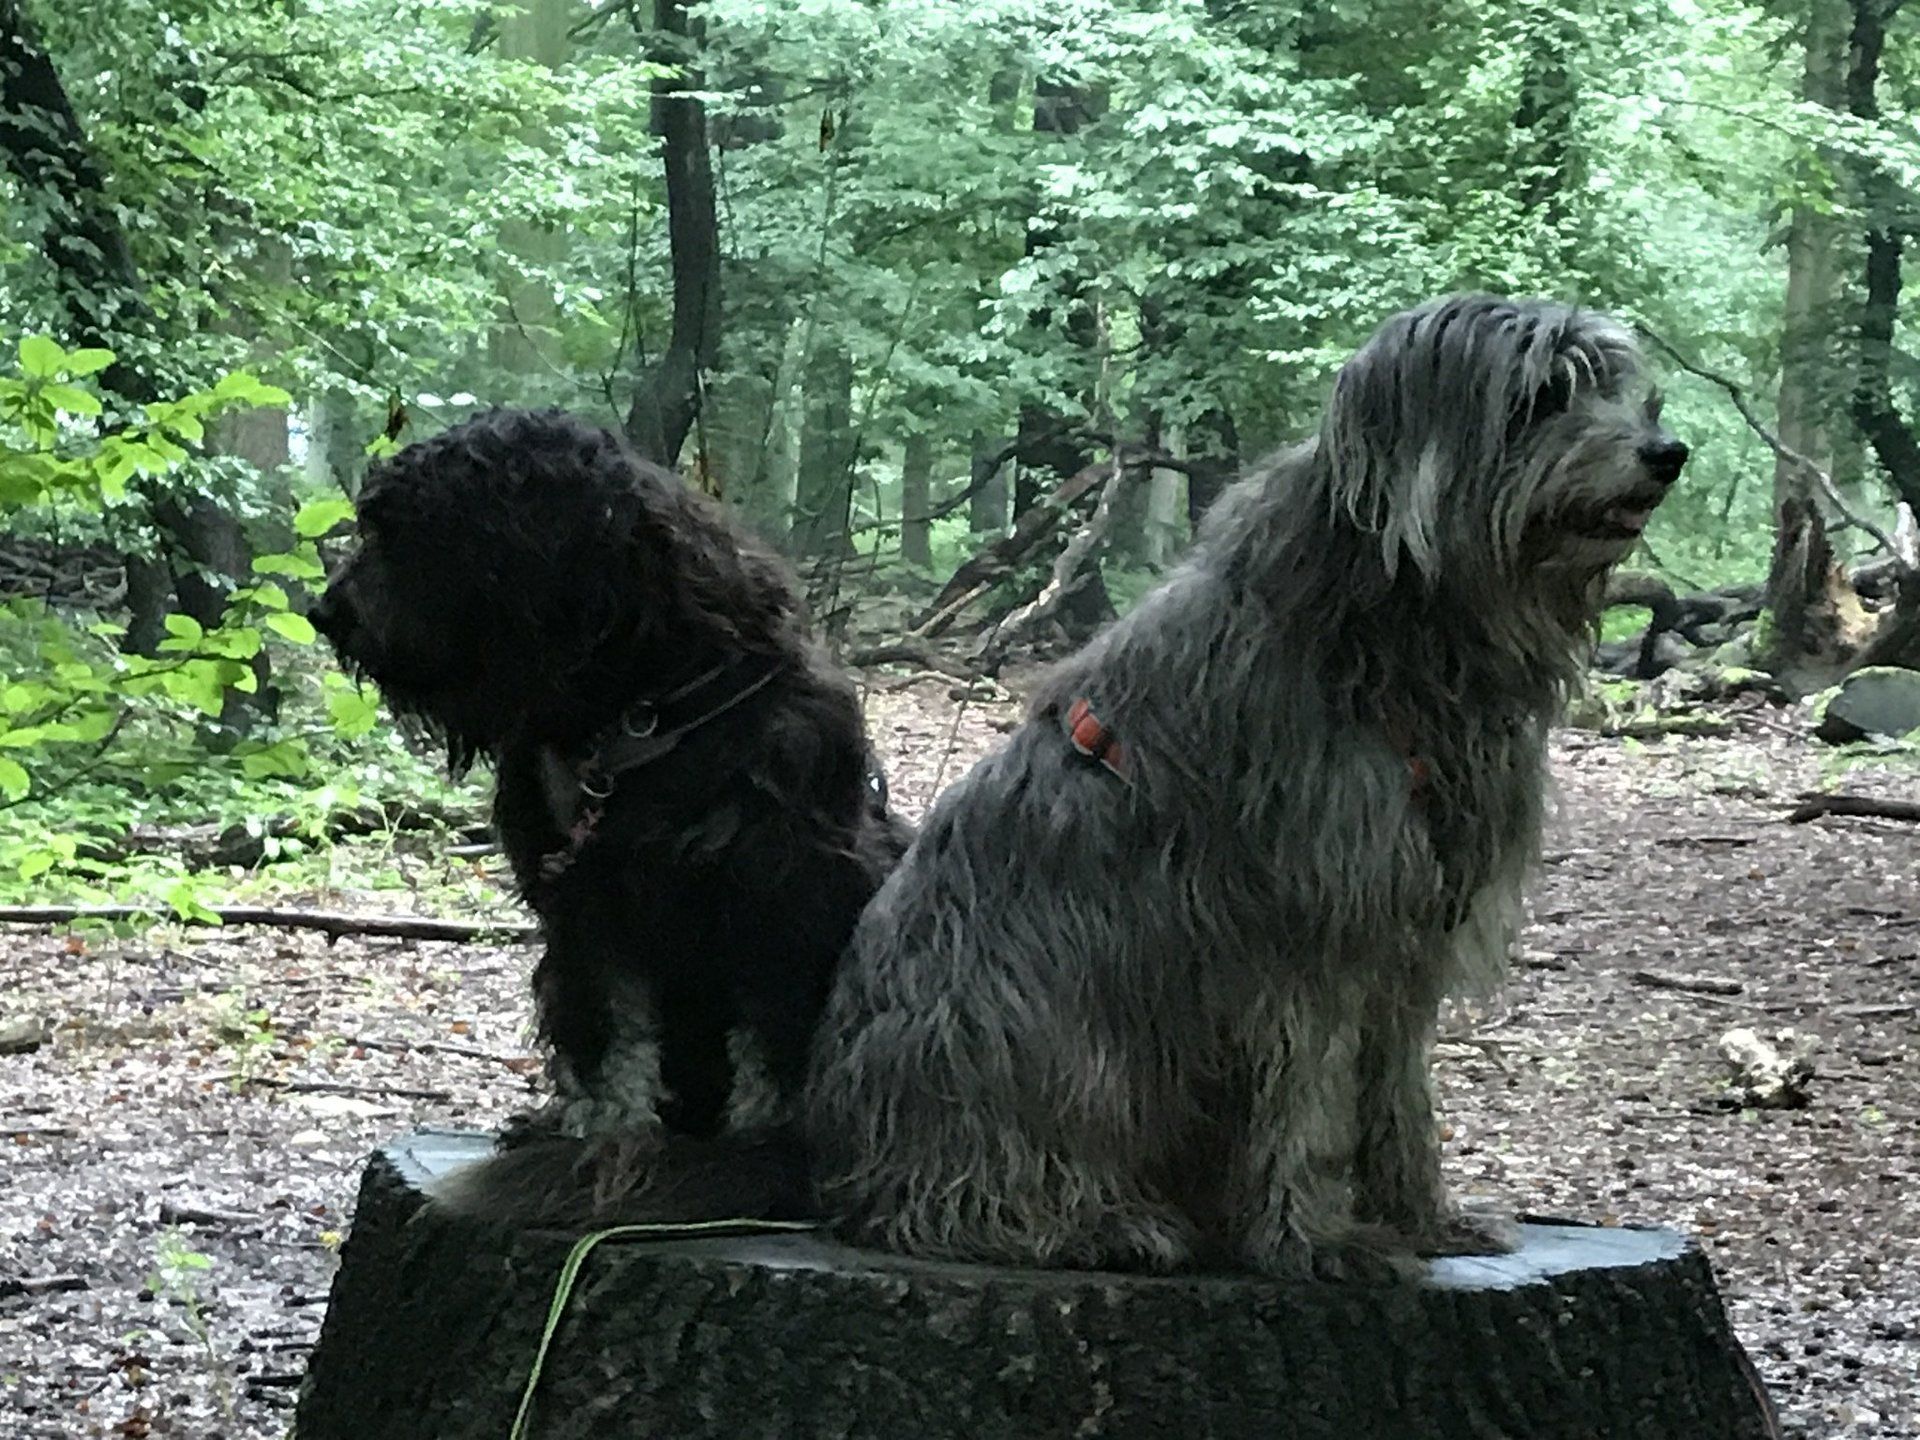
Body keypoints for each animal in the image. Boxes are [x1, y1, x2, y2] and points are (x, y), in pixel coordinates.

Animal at [311, 408, 909, 1218]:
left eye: (419, 534)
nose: (325, 612)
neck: (637, 711)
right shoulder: (584, 905)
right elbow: (610, 1038)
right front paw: (598, 1129)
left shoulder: (786, 892)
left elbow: (771, 1035)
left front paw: (762, 1142)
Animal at [806, 295, 1687, 1276]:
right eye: (1542, 396)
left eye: (1621, 392)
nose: (1667, 452)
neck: (1394, 639)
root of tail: (847, 1167)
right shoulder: (1300, 932)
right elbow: (1307, 1101)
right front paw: (1319, 1239)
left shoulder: (1408, 934)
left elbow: (1396, 1093)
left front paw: (1423, 1214)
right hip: (1041, 1038)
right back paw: (1089, 1223)